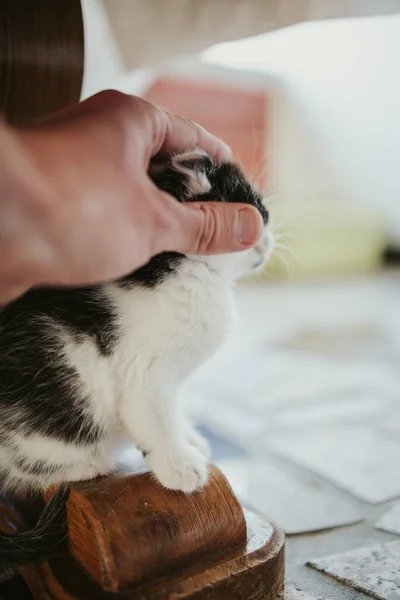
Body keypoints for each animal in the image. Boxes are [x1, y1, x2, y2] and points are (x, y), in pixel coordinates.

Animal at [0, 150, 272, 576]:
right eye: (257, 214)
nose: (268, 241)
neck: (192, 273)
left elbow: (173, 413)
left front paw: (188, 439)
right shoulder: (144, 374)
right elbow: (155, 421)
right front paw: (179, 467)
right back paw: (88, 465)